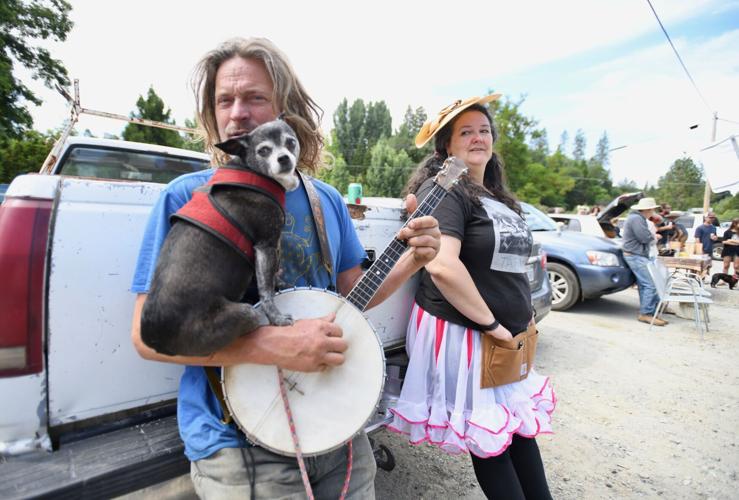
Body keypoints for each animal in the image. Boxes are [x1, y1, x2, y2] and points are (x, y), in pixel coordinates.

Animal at [139, 118, 300, 356]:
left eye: (290, 142)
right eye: (263, 151)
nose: (284, 158)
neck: (250, 171)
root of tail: (155, 339)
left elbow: (271, 277)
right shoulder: (265, 245)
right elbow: (266, 289)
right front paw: (277, 317)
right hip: (246, 314)